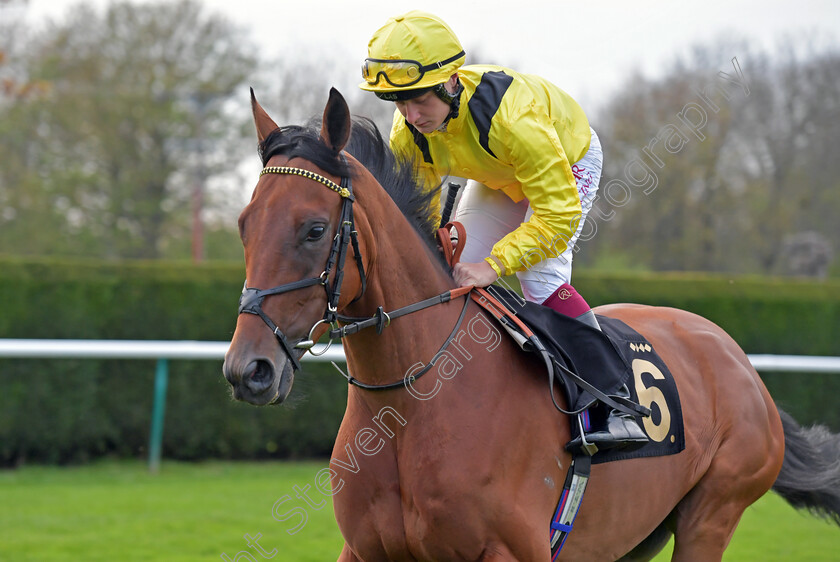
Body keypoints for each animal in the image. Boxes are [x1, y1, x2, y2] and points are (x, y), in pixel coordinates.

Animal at [223, 85, 840, 556]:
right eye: (244, 224)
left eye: (314, 230)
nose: (248, 370)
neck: (410, 407)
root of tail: (737, 359)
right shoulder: (365, 550)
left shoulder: (515, 550)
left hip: (712, 513)